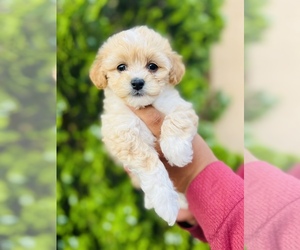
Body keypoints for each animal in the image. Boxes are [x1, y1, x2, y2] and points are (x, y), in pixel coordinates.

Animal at [90, 26, 198, 226]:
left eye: (152, 66)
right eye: (121, 67)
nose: (138, 82)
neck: (142, 106)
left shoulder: (179, 106)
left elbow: (177, 119)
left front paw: (176, 151)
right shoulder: (122, 134)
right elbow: (150, 163)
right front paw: (165, 203)